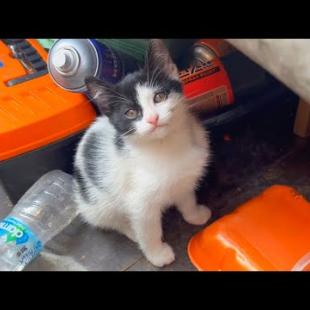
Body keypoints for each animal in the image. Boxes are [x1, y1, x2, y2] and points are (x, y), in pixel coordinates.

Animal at [74, 38, 212, 266]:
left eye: (160, 97)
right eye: (131, 113)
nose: (153, 119)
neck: (165, 146)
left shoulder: (184, 177)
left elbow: (186, 197)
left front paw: (195, 214)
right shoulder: (139, 203)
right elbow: (148, 230)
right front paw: (157, 254)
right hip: (96, 202)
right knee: (110, 219)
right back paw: (130, 231)